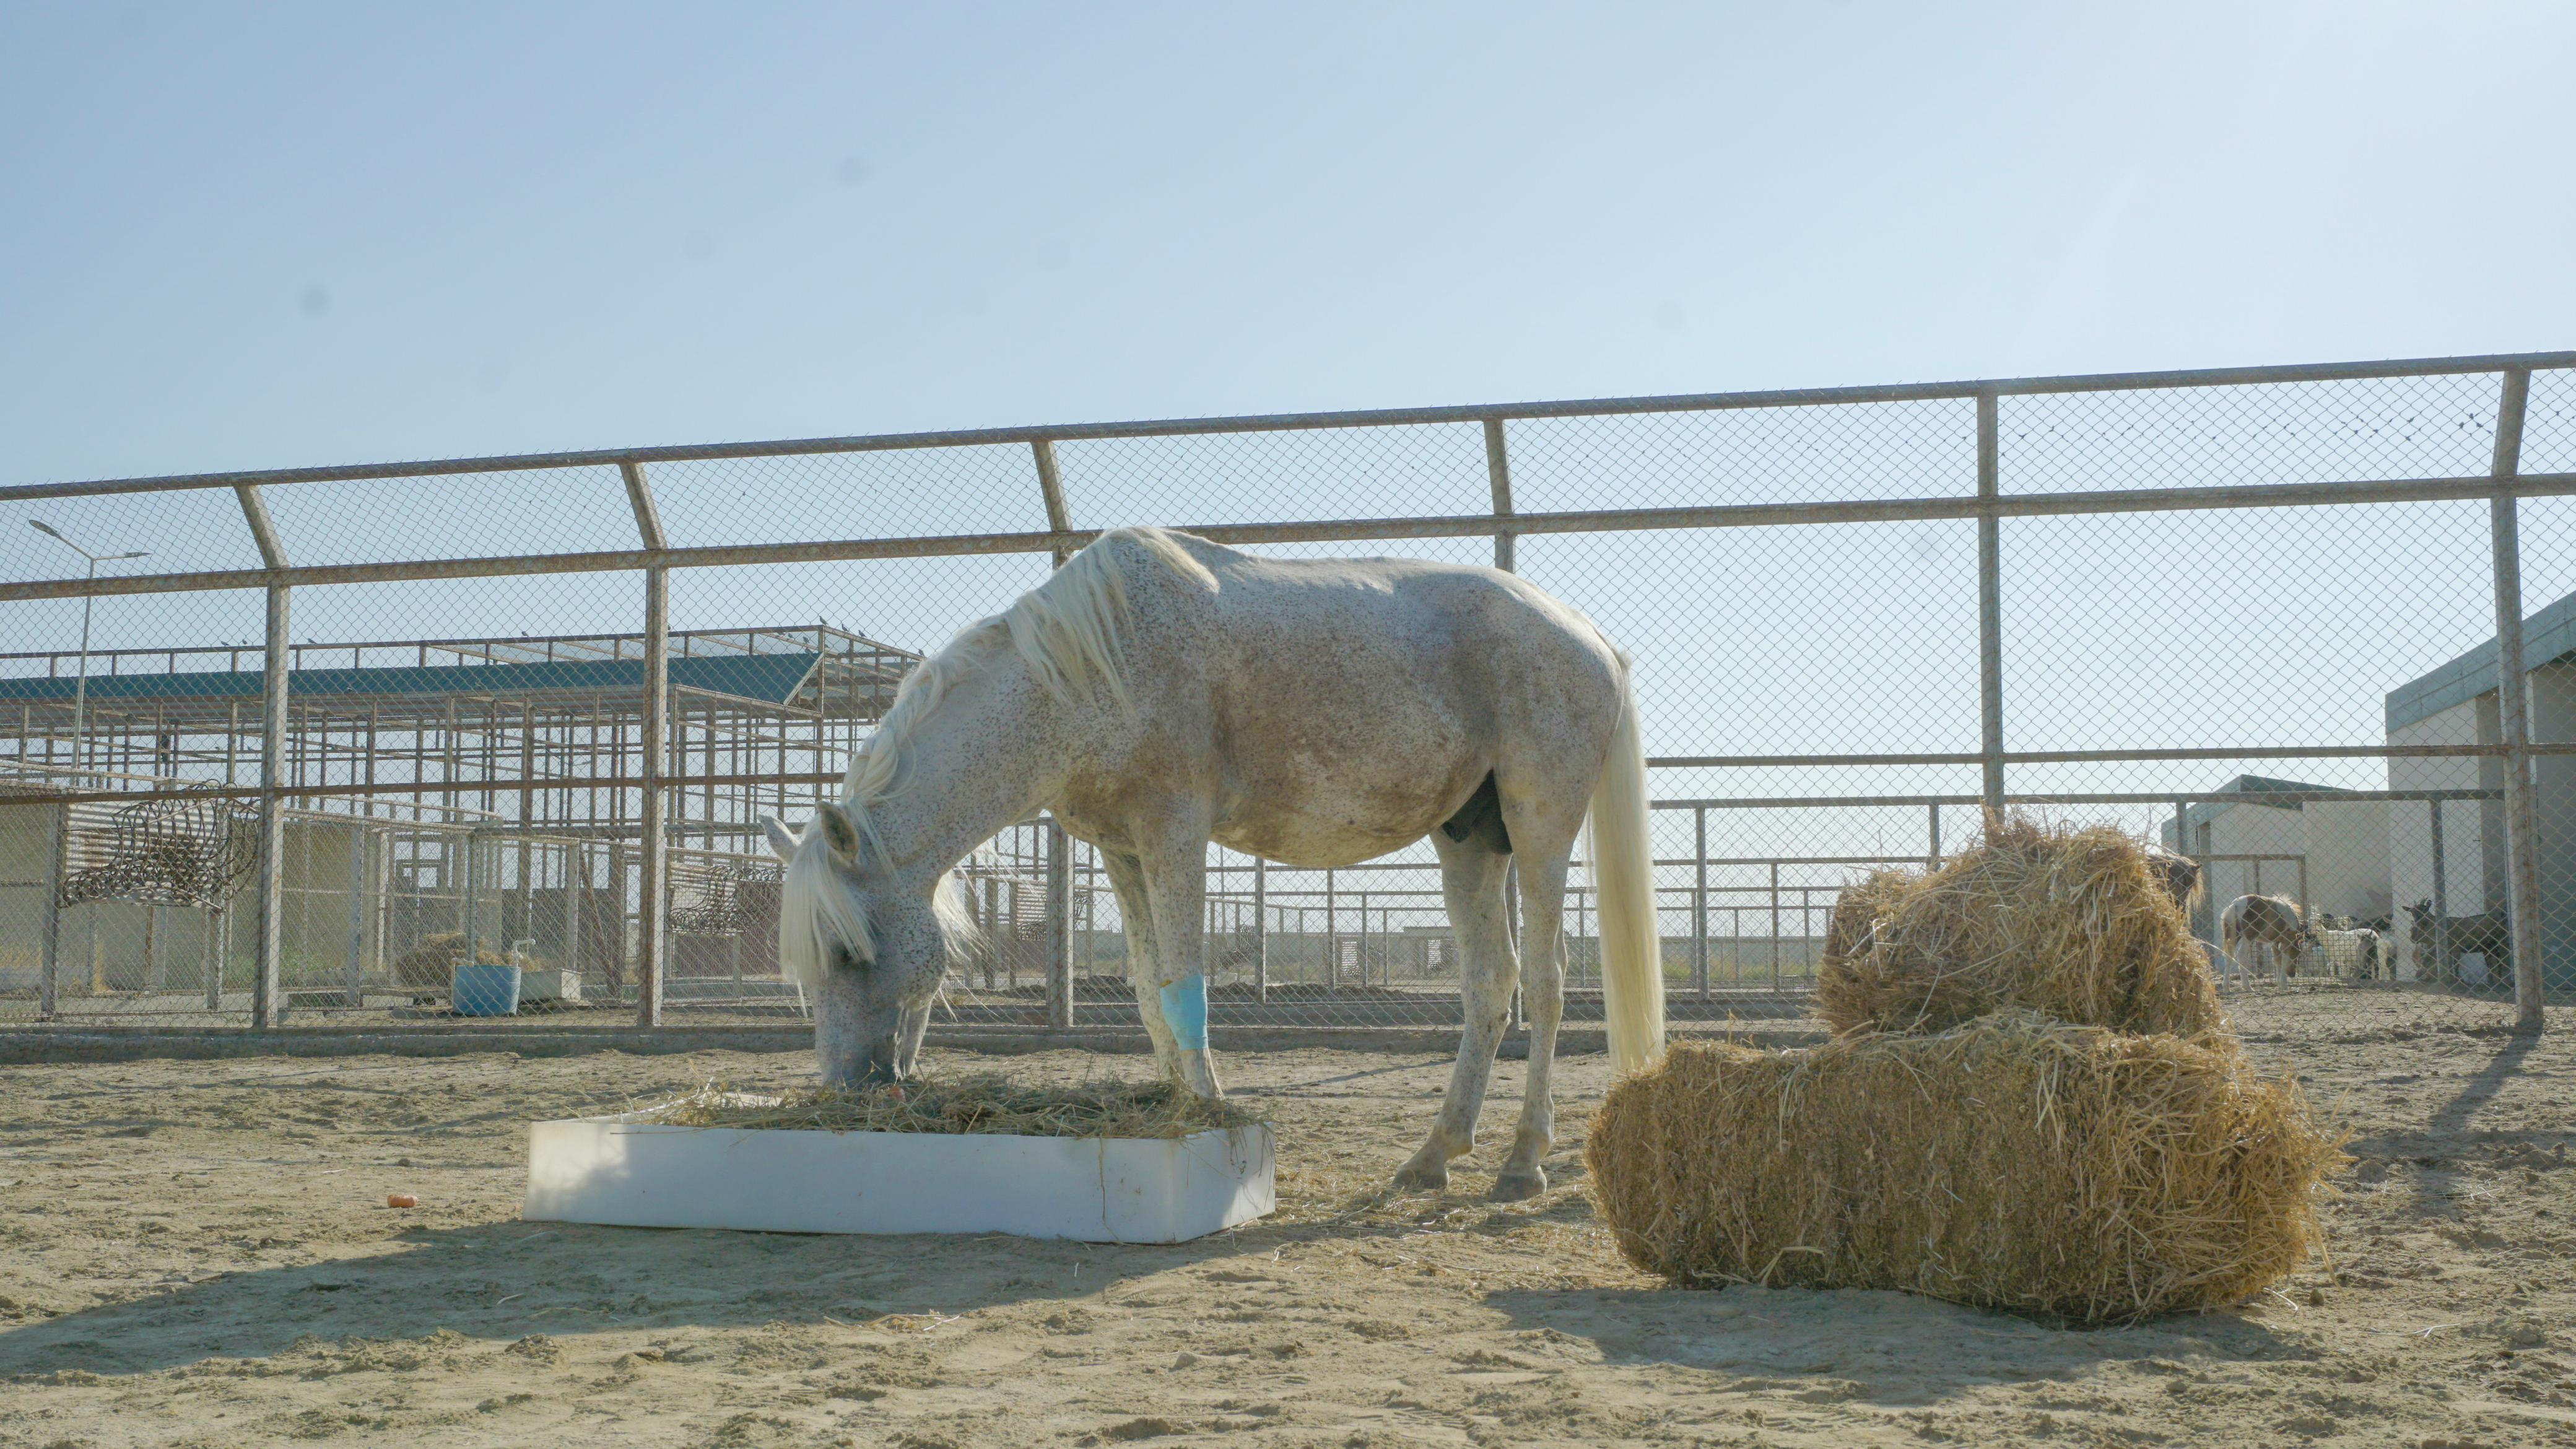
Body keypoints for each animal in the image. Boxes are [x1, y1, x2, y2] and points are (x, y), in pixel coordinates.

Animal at [757, 523, 1669, 1191]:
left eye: (851, 950)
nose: (846, 1087)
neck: (1082, 673)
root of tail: (1593, 639)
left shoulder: (1174, 833)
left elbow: (1181, 980)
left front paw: (1206, 1110)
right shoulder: (1122, 850)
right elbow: (1145, 991)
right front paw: (1171, 1098)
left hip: (1539, 827)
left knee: (1546, 985)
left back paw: (1522, 1161)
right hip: (1469, 841)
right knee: (1490, 984)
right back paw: (1434, 1155)